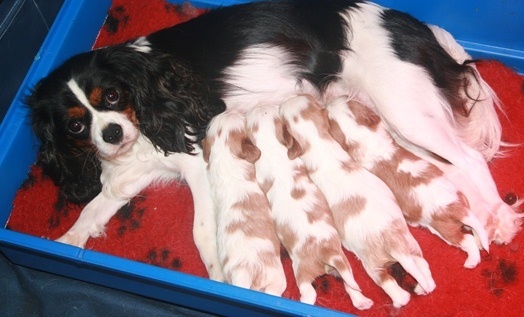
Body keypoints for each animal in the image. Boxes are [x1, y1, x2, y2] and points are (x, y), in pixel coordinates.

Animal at [246, 104, 372, 308]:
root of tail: (326, 252)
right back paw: (362, 302)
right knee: (350, 283)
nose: (260, 105)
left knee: (309, 292)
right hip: (343, 262)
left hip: (302, 272)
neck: (271, 144)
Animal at [280, 95, 436, 308]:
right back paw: (423, 287)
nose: (290, 97)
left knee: (390, 285)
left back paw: (398, 300)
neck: (319, 141)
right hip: (411, 244)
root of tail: (395, 247)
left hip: (373, 264)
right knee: (422, 265)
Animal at [328, 97, 492, 266]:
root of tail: (457, 208)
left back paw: (471, 261)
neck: (365, 135)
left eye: (330, 119)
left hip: (446, 229)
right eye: (349, 102)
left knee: (467, 240)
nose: (332, 101)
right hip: (463, 201)